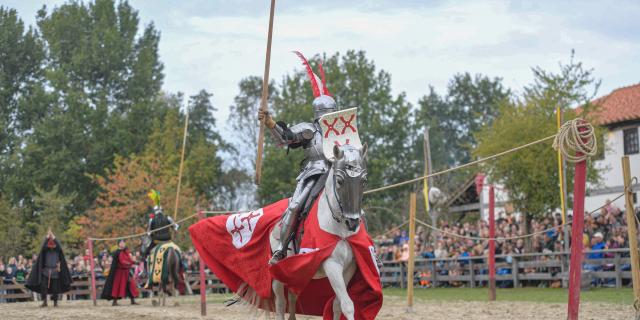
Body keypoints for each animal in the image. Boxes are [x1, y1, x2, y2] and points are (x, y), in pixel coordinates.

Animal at [270, 144, 370, 320]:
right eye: (339, 181)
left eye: (363, 181)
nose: (352, 222)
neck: (341, 232)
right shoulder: (332, 264)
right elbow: (347, 304)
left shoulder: (350, 266)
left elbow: (338, 304)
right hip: (279, 272)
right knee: (280, 303)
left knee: (292, 295)